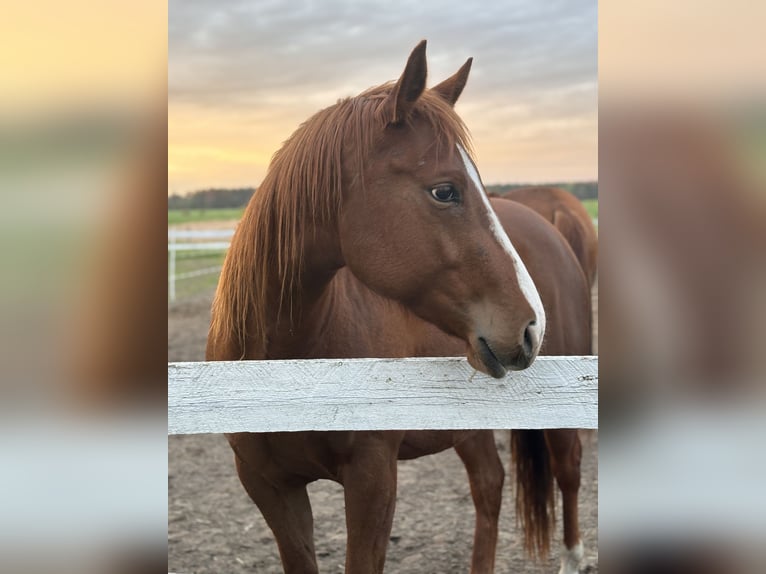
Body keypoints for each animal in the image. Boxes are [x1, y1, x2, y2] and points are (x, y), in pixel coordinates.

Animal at [207, 41, 592, 574]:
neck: (288, 368)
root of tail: (551, 221)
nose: (531, 326)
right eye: (444, 190)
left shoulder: (372, 478)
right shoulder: (269, 487)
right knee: (489, 485)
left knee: (567, 467)